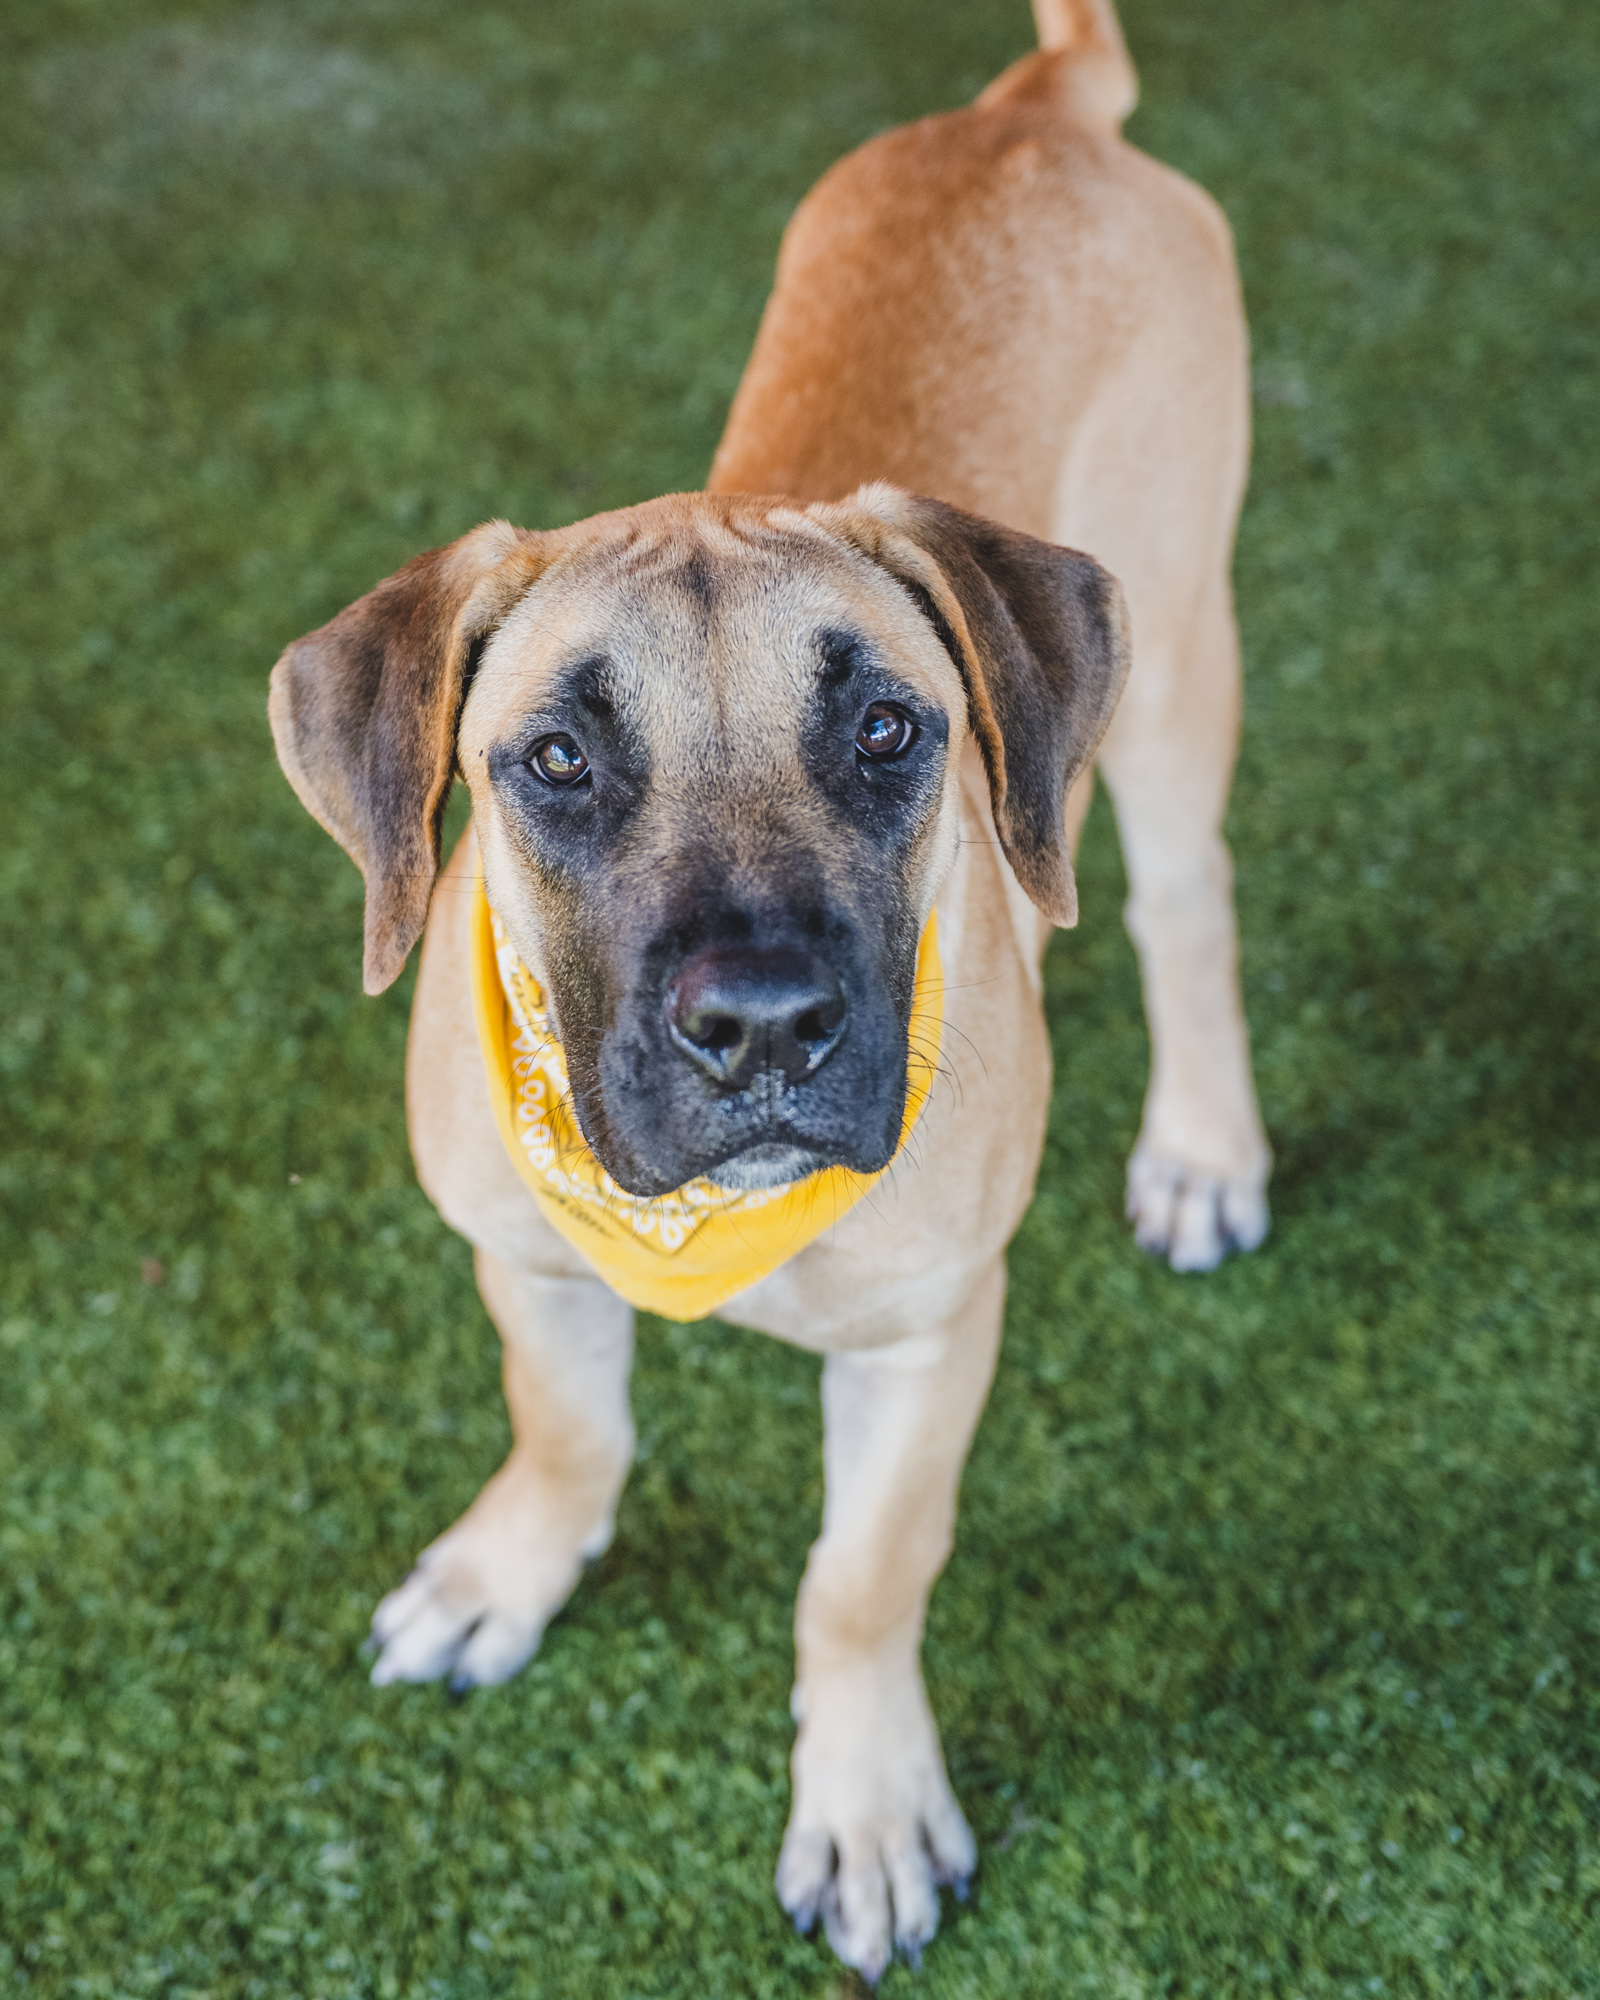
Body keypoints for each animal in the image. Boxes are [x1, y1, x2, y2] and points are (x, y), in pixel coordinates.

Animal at [268, 0, 1270, 1976]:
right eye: (556, 761)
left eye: (889, 731)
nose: (762, 1032)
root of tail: (1037, 114)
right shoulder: (520, 1252)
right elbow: (568, 1425)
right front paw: (507, 1573)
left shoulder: (926, 1341)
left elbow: (859, 1583)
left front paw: (867, 1810)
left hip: (1181, 658)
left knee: (1187, 910)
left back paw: (1203, 1147)